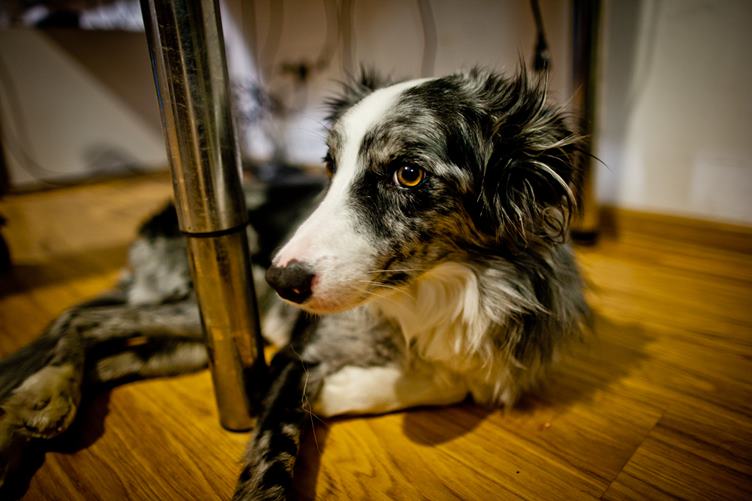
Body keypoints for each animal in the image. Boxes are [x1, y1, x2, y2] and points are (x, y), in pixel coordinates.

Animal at [0, 67, 587, 500]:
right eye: (328, 166)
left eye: (409, 174)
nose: (280, 279)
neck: (432, 291)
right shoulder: (291, 359)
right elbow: (271, 458)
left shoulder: (502, 360)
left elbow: (453, 381)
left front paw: (340, 392)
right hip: (214, 309)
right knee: (81, 318)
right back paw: (44, 395)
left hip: (202, 339)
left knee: (109, 356)